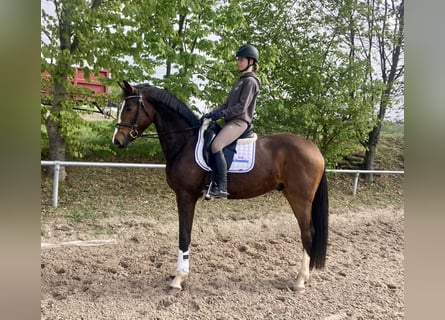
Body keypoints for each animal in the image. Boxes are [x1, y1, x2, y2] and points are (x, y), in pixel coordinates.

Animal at [112, 80, 326, 292]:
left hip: (300, 198)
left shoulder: (185, 195)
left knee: (307, 233)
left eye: (129, 108)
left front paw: (179, 278)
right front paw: (178, 274)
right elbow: (184, 233)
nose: (117, 140)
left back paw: (300, 280)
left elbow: (184, 235)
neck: (185, 142)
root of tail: (314, 148)